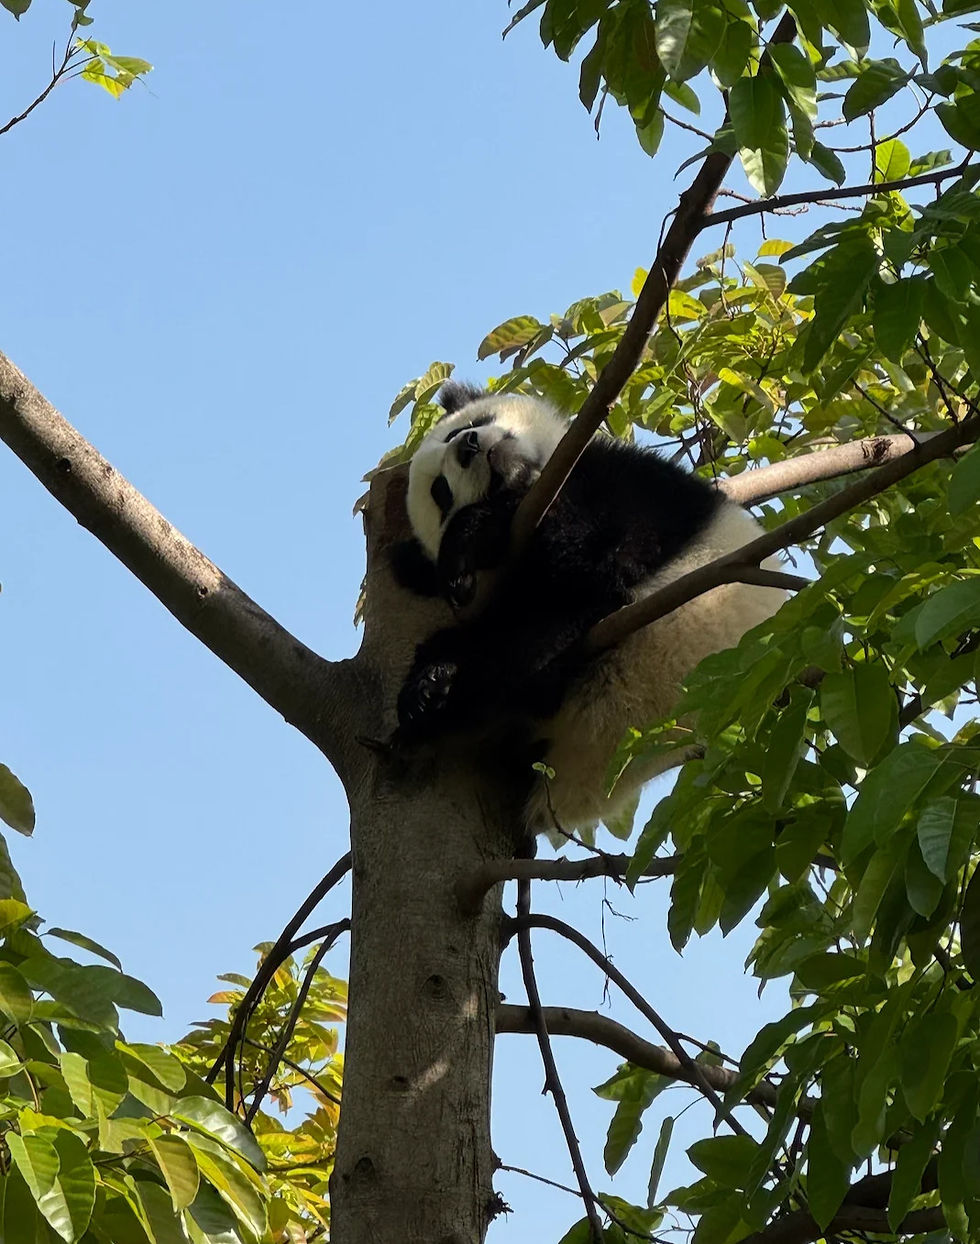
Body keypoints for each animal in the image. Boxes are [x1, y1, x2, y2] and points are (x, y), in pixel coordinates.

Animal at [392, 381, 784, 836]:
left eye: (469, 425)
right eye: (441, 492)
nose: (468, 446)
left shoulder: (634, 484)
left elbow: (602, 540)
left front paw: (470, 535)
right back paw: (429, 692)